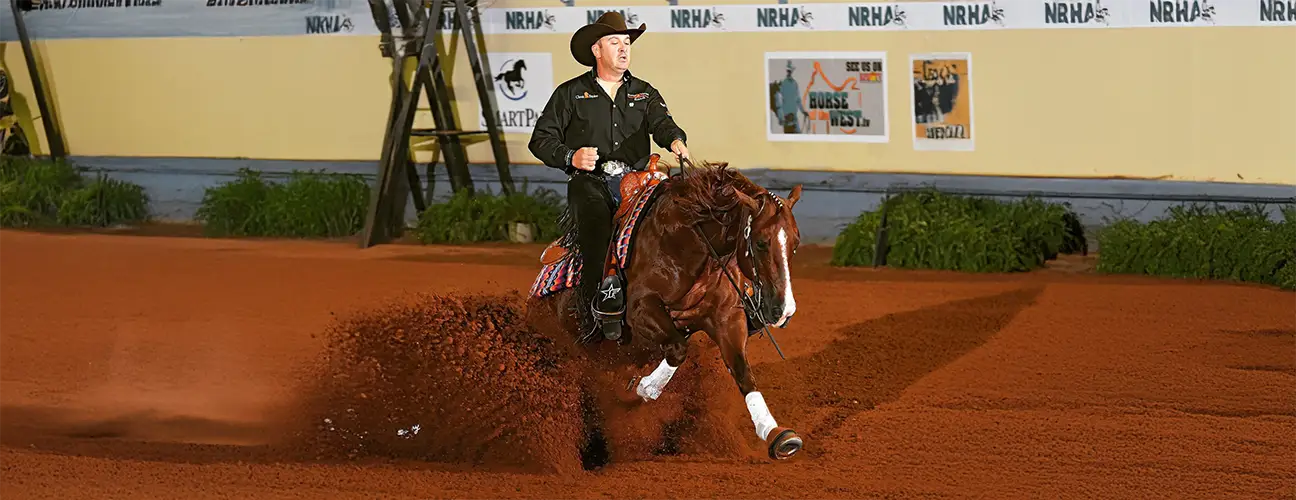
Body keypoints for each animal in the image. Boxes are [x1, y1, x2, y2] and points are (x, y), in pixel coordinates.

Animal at [526, 154, 806, 460]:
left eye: (795, 243)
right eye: (761, 242)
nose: (784, 310)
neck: (688, 241)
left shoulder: (726, 318)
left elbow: (742, 372)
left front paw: (777, 434)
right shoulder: (641, 310)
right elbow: (677, 348)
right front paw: (645, 388)